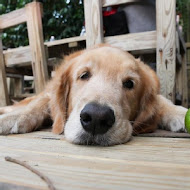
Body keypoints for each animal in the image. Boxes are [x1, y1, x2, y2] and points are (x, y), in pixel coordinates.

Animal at [0, 45, 188, 145]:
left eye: (129, 83)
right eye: (84, 75)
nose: (97, 118)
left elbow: (161, 100)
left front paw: (180, 113)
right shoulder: (47, 95)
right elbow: (37, 105)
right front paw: (13, 119)